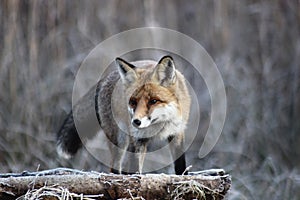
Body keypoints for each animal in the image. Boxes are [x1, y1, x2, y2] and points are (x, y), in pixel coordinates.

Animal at [56, 55, 191, 174]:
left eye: (153, 101)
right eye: (133, 102)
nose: (136, 122)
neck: (160, 125)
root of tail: (106, 78)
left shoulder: (177, 132)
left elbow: (180, 165)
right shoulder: (138, 138)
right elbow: (136, 167)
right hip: (120, 139)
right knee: (115, 167)